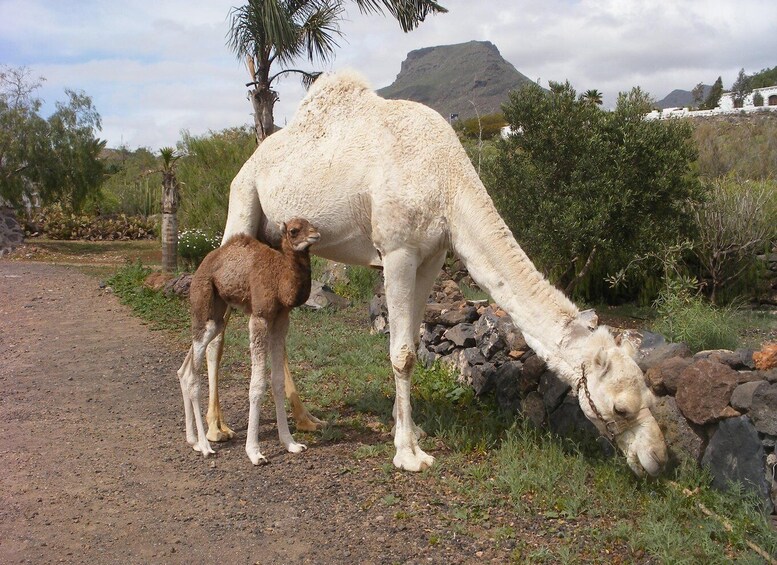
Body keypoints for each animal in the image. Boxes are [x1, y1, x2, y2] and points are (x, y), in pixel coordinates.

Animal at [177, 218, 320, 464]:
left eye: (312, 224)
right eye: (294, 231)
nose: (316, 235)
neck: (279, 278)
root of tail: (201, 266)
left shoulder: (281, 319)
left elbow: (277, 381)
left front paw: (291, 443)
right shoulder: (259, 317)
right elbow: (257, 384)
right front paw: (254, 452)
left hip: (216, 318)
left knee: (185, 370)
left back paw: (193, 441)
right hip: (203, 303)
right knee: (194, 376)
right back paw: (206, 446)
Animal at [208, 70, 668, 476]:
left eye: (651, 396)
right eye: (621, 407)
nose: (659, 459)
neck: (448, 179)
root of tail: (248, 161)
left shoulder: (430, 256)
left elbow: (412, 344)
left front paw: (411, 432)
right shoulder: (396, 251)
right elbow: (402, 353)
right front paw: (408, 455)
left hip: (277, 240)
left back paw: (305, 421)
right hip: (242, 201)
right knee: (221, 319)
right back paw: (216, 430)